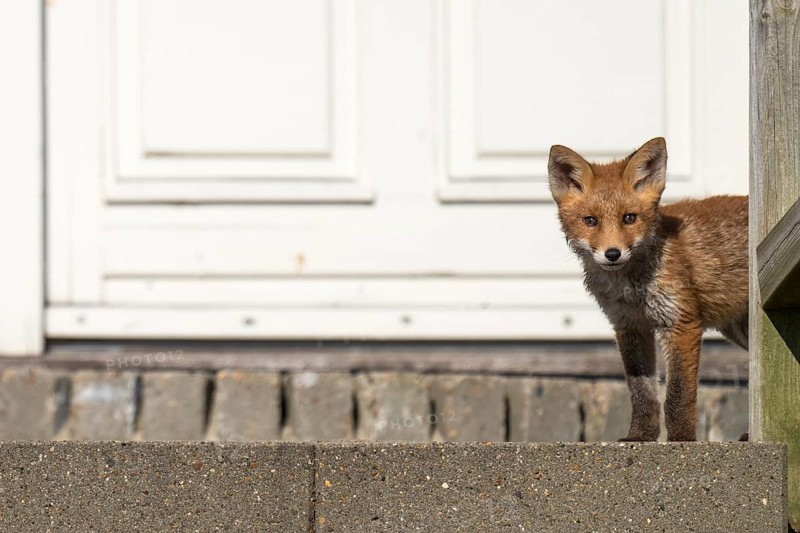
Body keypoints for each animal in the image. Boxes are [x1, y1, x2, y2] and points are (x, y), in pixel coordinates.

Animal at [547, 137, 748, 441]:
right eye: (590, 220)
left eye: (629, 218)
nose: (613, 254)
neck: (632, 289)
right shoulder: (629, 326)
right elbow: (642, 393)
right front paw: (641, 435)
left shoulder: (681, 322)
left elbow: (678, 394)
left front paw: (681, 439)